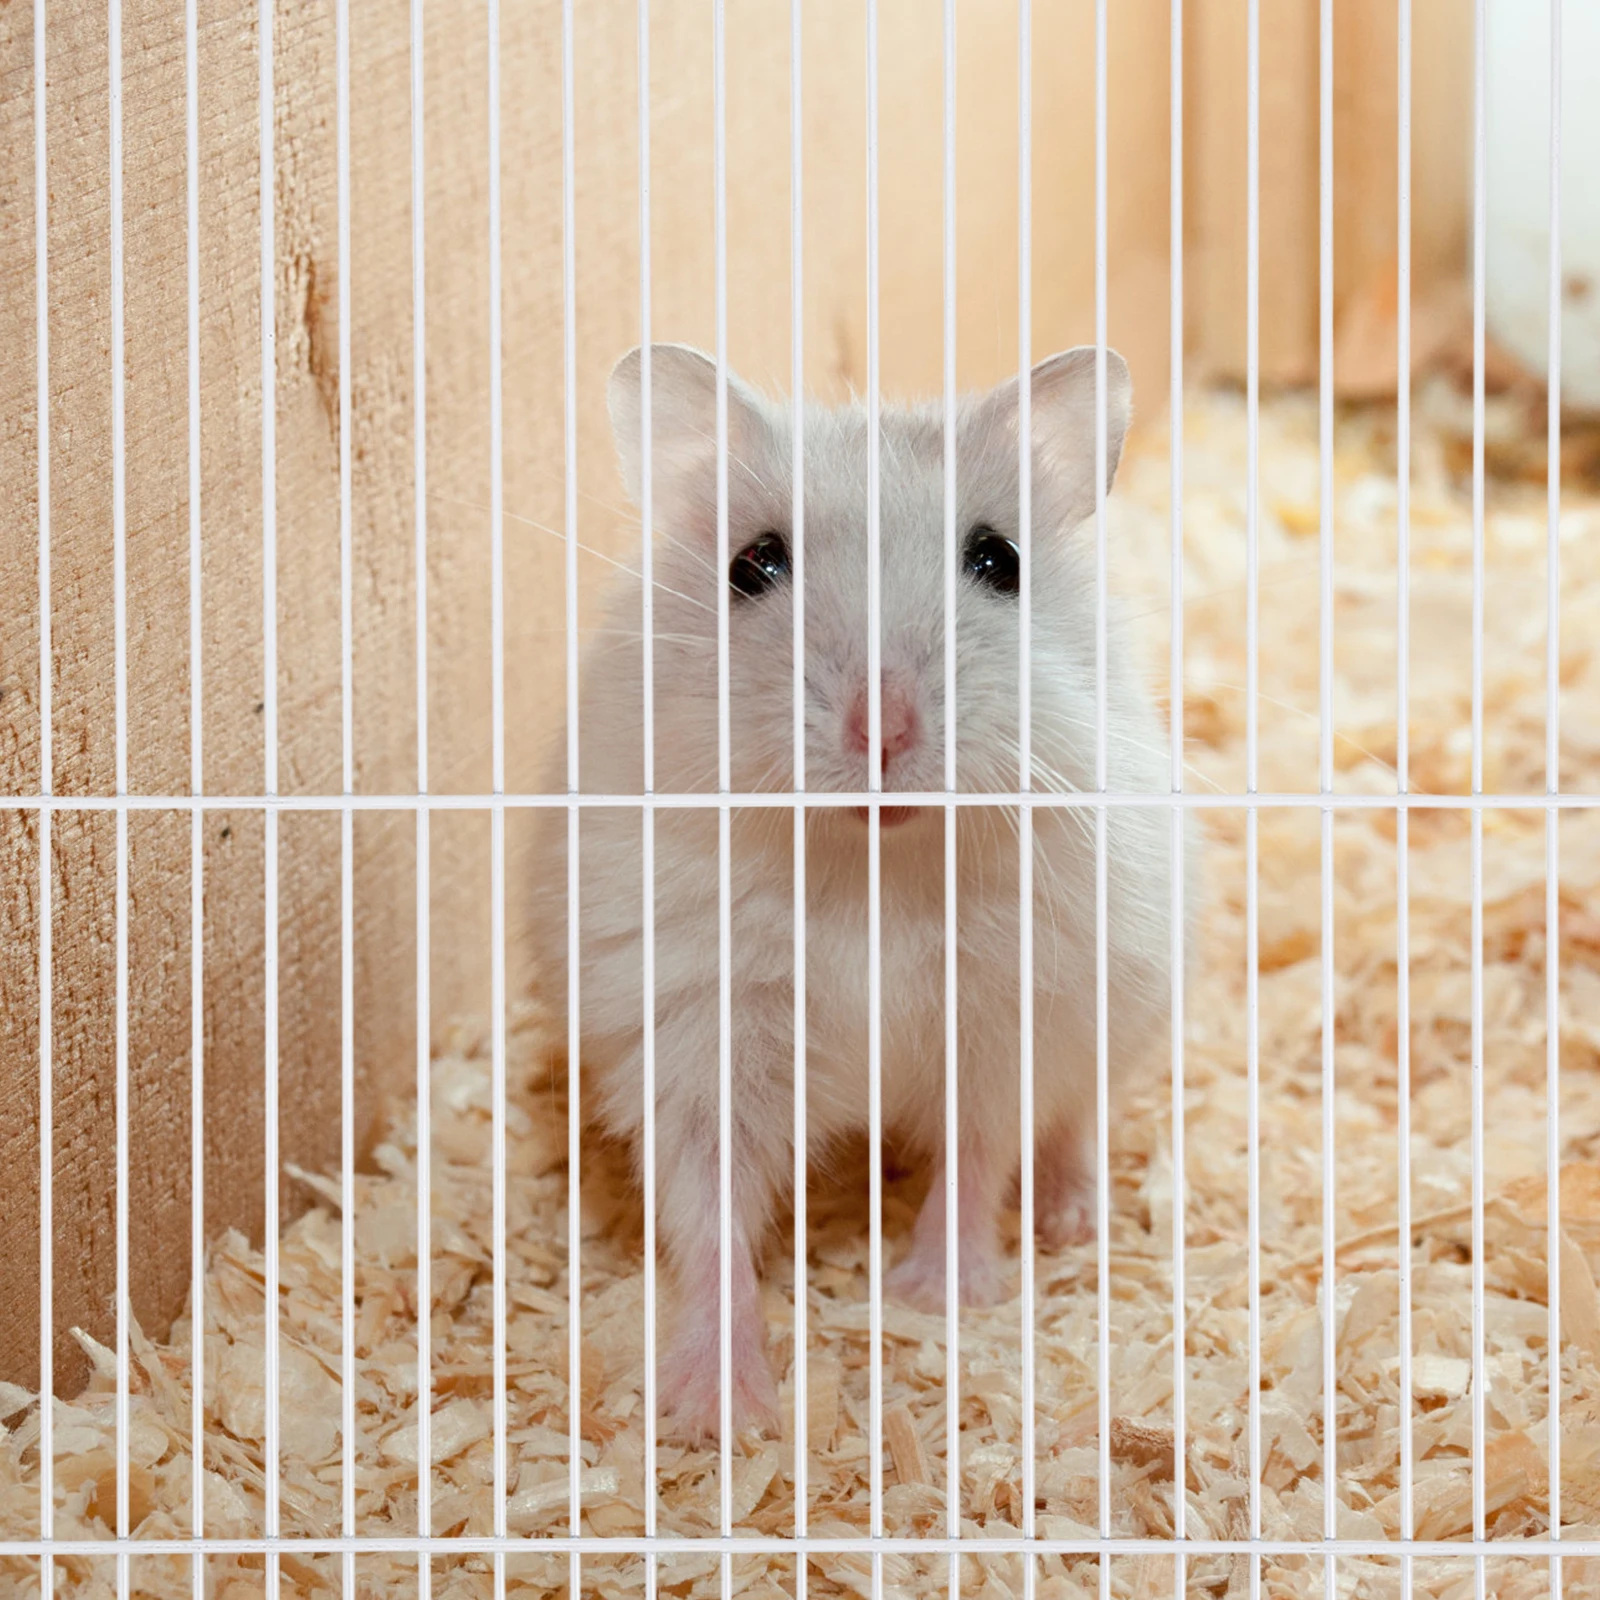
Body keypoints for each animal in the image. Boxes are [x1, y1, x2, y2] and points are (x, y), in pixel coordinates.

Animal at [528, 343, 1198, 1441]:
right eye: (751, 566)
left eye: (998, 562)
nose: (880, 727)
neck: (870, 866)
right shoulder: (700, 1033)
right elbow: (710, 1216)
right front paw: (720, 1415)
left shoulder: (1007, 1014)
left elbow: (976, 1154)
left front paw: (936, 1299)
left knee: (1074, 1119)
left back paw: (1073, 1220)